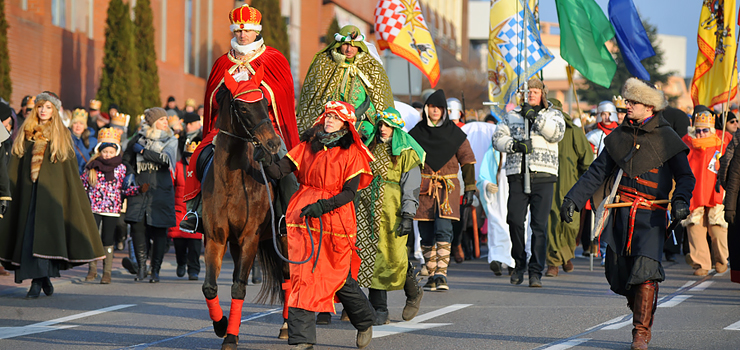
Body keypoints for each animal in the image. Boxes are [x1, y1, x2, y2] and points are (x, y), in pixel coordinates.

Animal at [201, 65, 290, 348]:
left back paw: (287, 326)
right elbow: (210, 286)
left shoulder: (250, 237)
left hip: (283, 237)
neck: (232, 182)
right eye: (241, 107)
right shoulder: (217, 237)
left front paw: (230, 337)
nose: (272, 143)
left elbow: (239, 286)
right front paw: (221, 326)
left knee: (288, 276)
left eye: (264, 102)